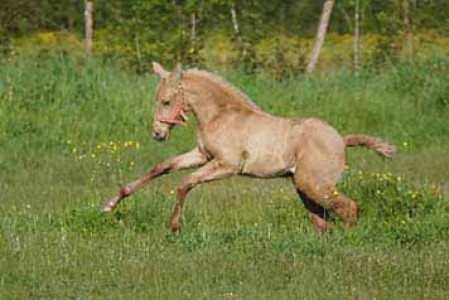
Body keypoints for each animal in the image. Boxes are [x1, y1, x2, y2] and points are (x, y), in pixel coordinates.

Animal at [103, 62, 394, 233]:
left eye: (165, 101)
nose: (158, 134)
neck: (220, 115)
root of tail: (341, 139)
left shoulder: (227, 165)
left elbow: (185, 182)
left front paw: (174, 227)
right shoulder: (201, 155)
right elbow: (162, 167)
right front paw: (110, 203)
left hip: (315, 186)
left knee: (349, 209)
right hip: (303, 187)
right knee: (323, 221)